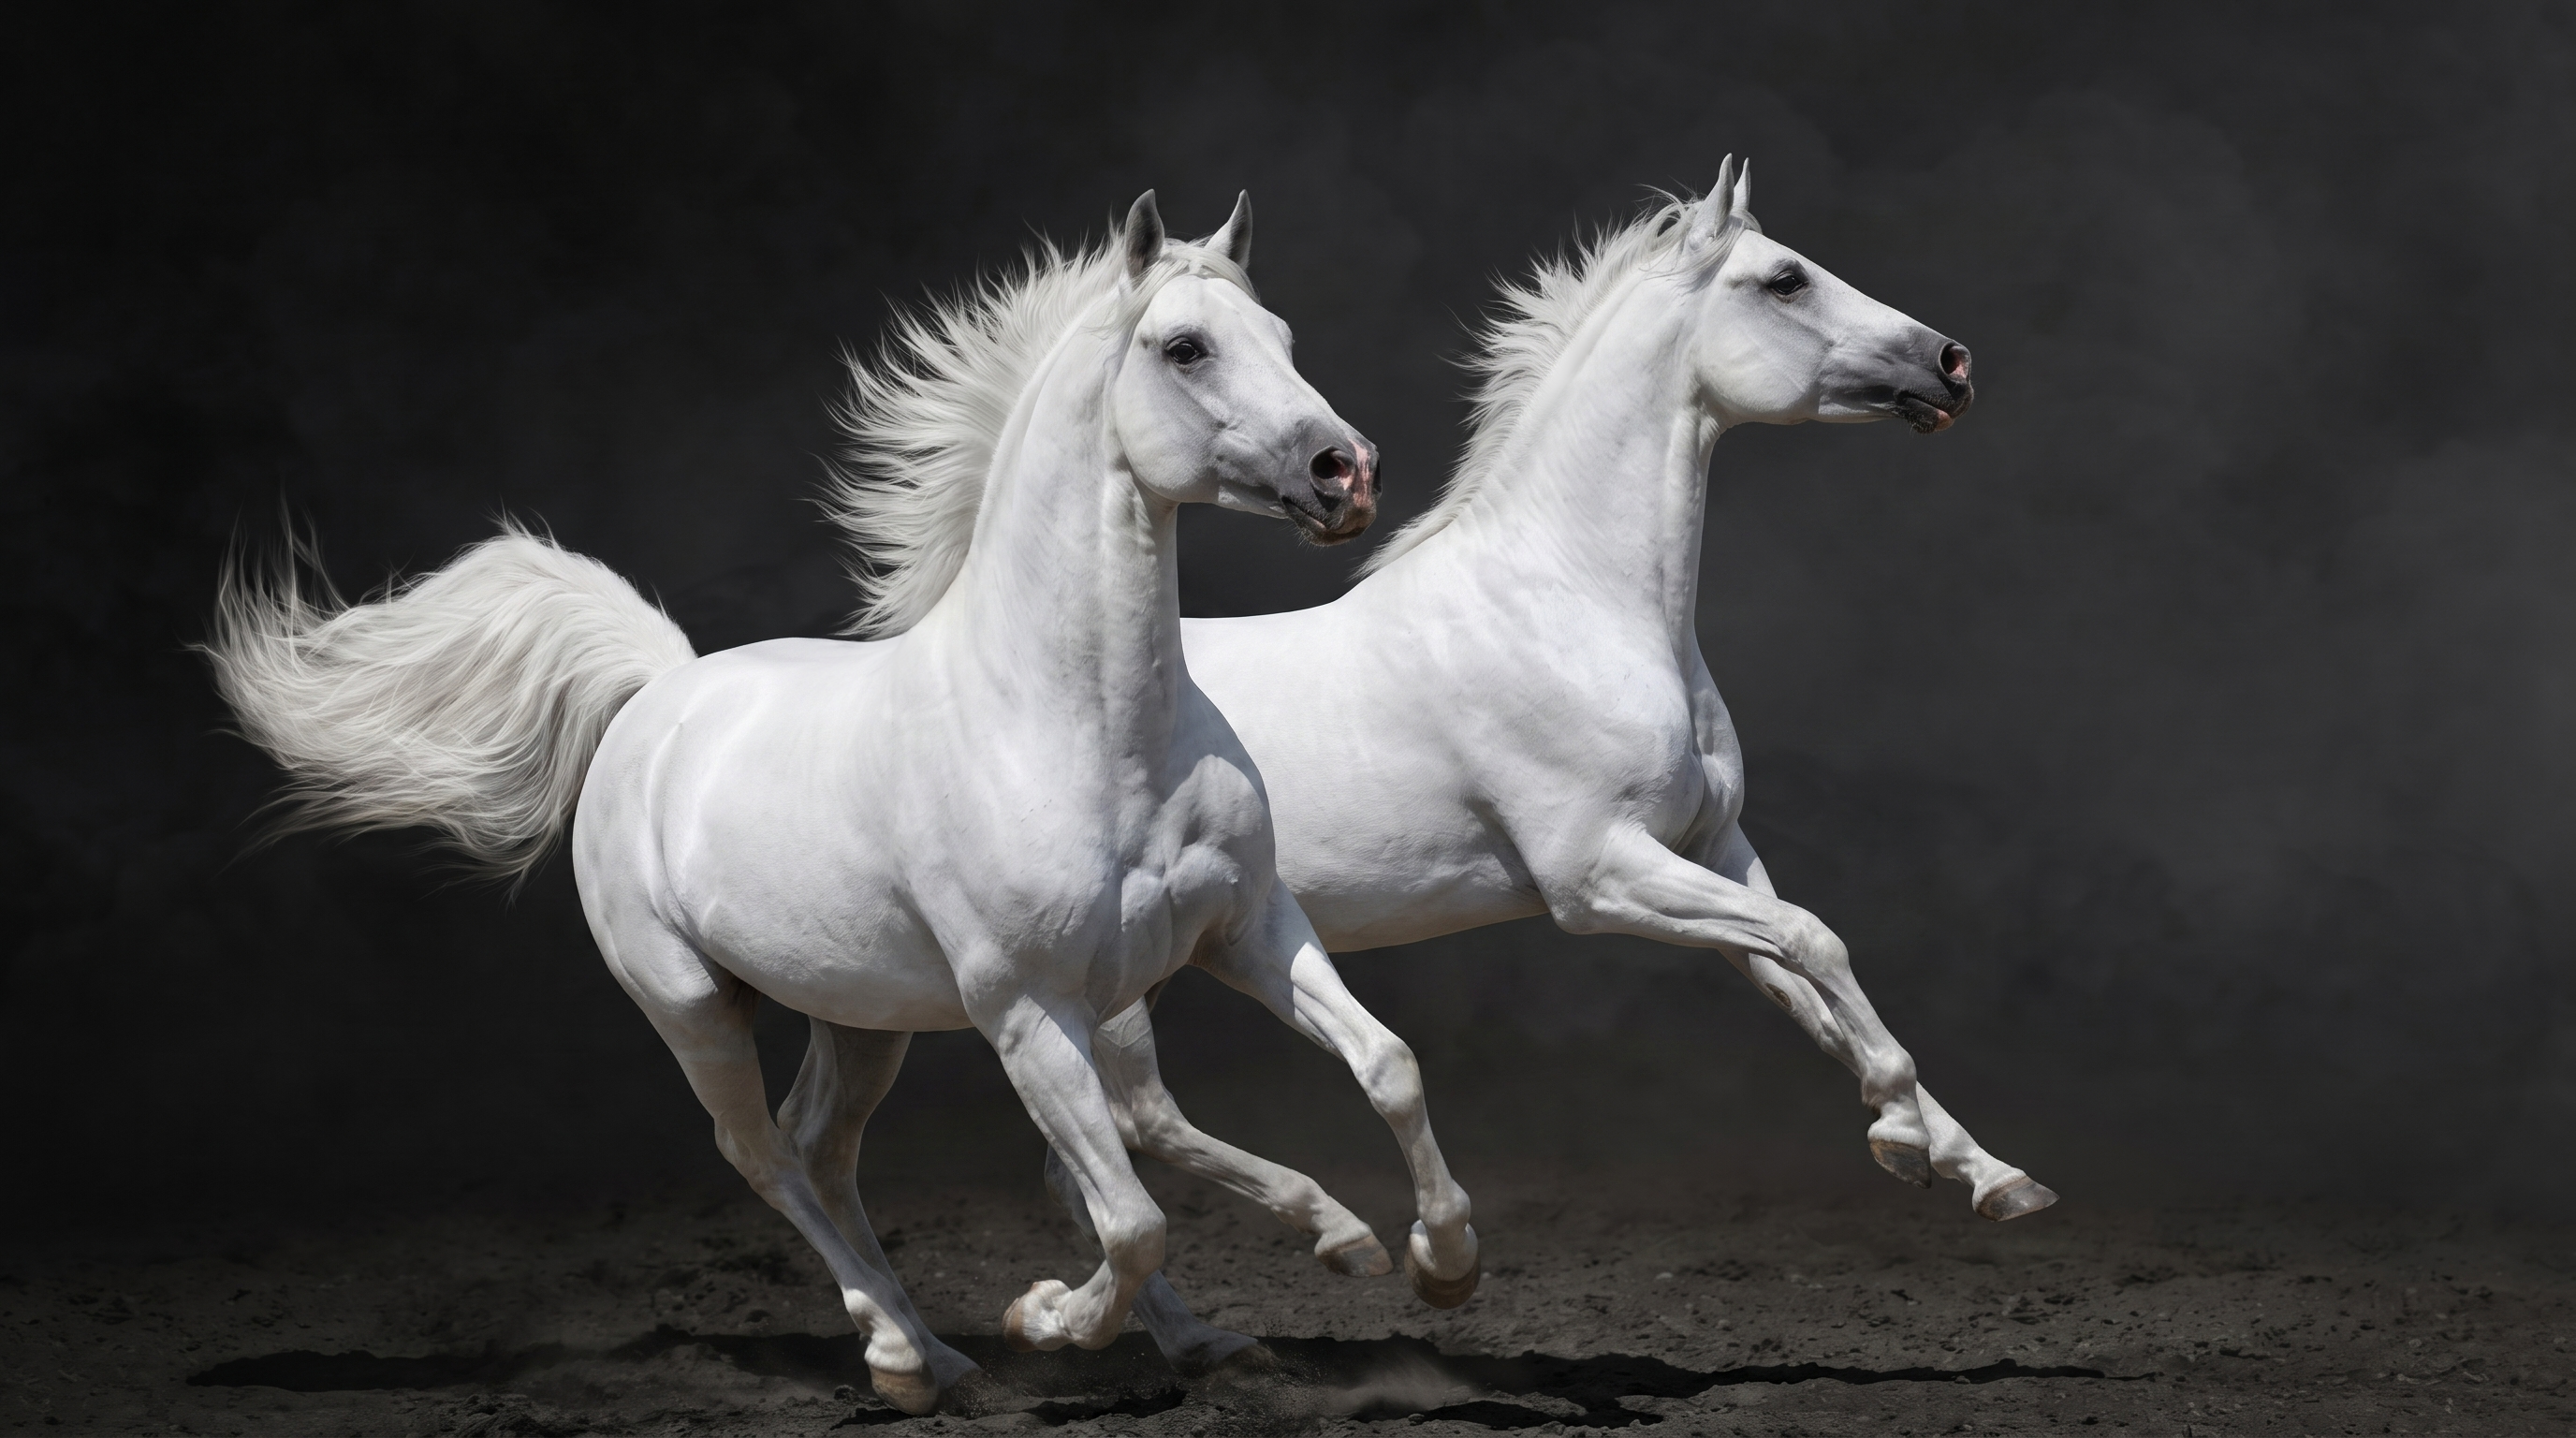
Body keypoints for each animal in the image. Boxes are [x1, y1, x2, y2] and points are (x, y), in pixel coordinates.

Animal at [205, 191, 1480, 1414]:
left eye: (1283, 338)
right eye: (1183, 347)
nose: (1345, 472)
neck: (1080, 728)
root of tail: (658, 690)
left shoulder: (1247, 932)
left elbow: (1383, 1065)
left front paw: (1420, 1259)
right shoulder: (1027, 1011)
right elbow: (1131, 1215)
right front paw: (1045, 1321)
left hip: (859, 1016)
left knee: (821, 1152)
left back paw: (1002, 1355)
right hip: (692, 1006)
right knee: (764, 1158)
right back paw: (912, 1358)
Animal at [964, 160, 2057, 1361]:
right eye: (1784, 280)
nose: (1948, 363)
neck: (1573, 605)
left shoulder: (1713, 848)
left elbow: (1811, 983)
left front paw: (1983, 1172)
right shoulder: (1599, 876)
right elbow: (1820, 944)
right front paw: (1902, 1136)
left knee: (1085, 1165)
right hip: (1107, 982)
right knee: (1121, 1136)